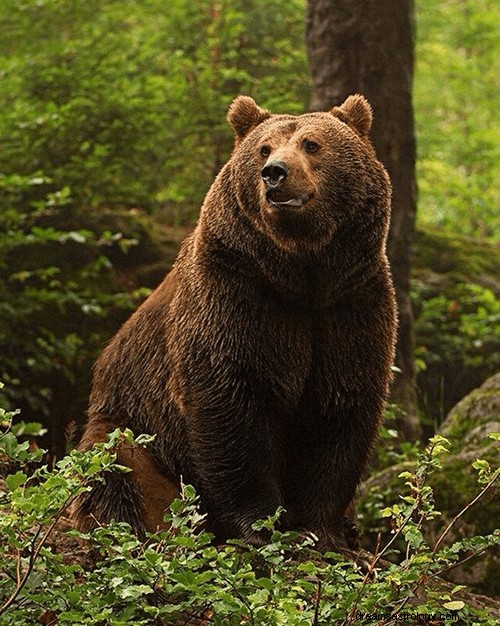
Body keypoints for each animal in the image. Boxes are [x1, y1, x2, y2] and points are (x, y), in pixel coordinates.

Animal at [72, 92, 396, 544]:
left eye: (312, 144)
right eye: (263, 148)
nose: (274, 173)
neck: (302, 273)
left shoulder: (350, 303)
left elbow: (339, 408)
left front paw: (322, 528)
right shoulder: (235, 293)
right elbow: (231, 403)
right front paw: (262, 523)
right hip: (135, 426)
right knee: (117, 468)